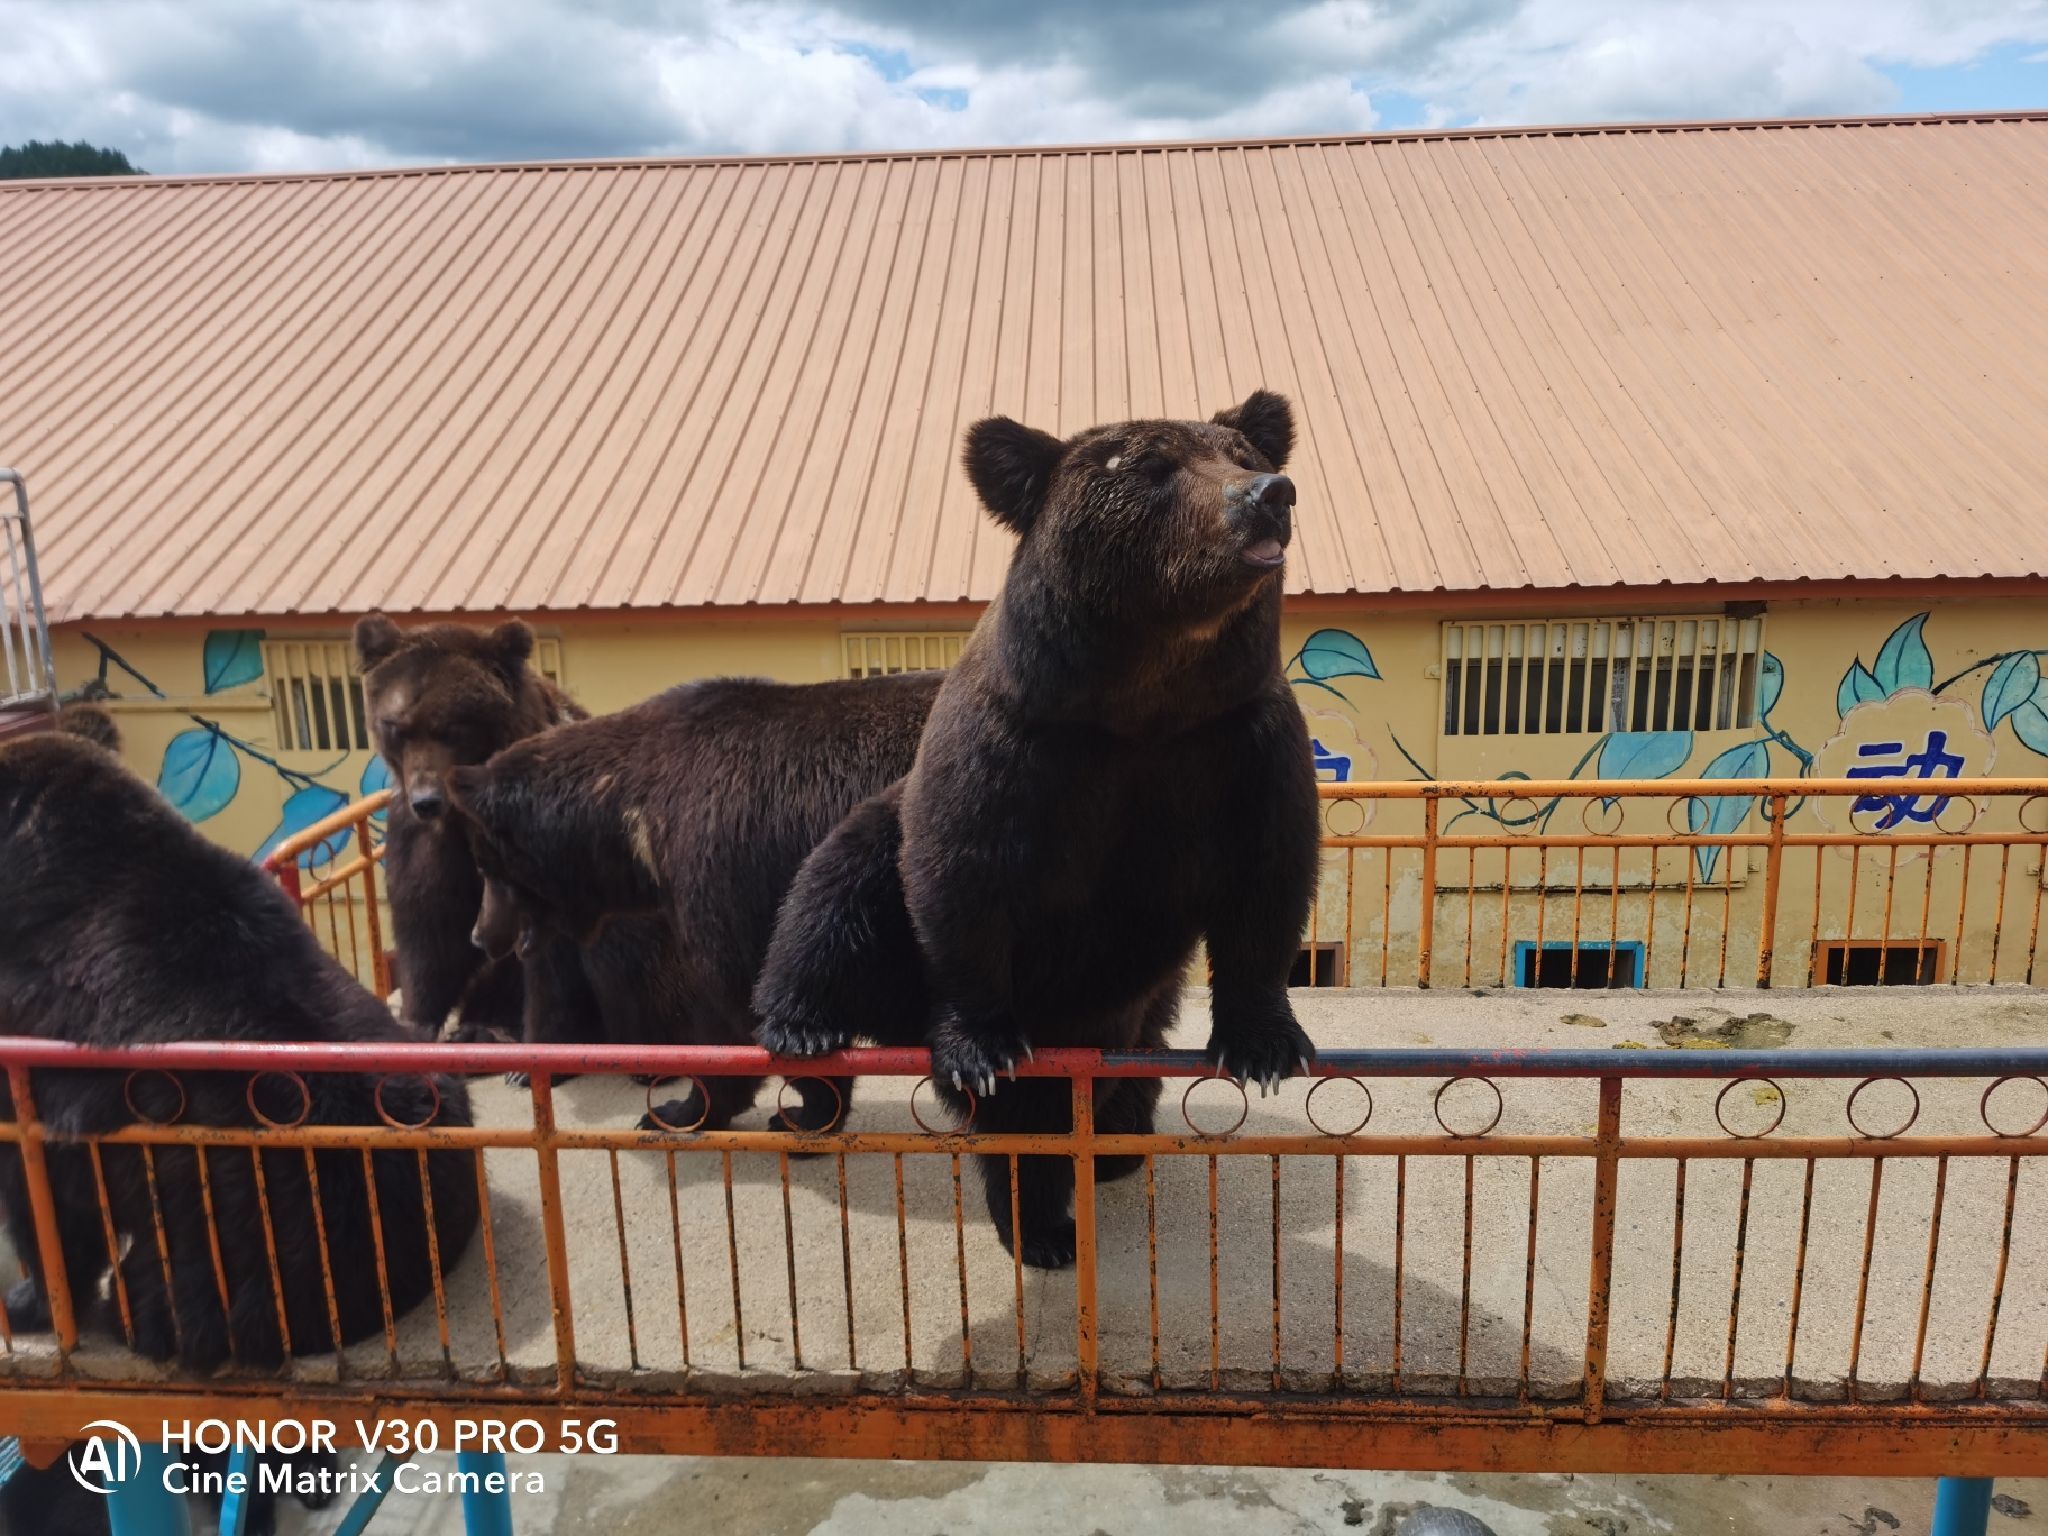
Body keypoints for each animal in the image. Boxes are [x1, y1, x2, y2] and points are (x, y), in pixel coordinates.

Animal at [354, 613, 585, 1037]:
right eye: (397, 726)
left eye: (452, 727)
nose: (427, 800)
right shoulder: (428, 840)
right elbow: (430, 926)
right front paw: (418, 1019)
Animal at [443, 671, 943, 1132]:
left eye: (485, 867)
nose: (479, 935)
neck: (632, 822)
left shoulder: (724, 868)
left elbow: (738, 1003)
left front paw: (779, 1108)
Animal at [755, 392, 1321, 1268]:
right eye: (1153, 468)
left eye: (1239, 451)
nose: (1267, 493)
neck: (1144, 698)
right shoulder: (1013, 747)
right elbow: (961, 881)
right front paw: (983, 1048)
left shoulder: (1240, 743)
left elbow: (1268, 877)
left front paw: (1263, 1044)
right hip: (878, 886)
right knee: (834, 895)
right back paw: (807, 1027)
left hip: (1131, 1007)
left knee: (1106, 1080)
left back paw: (1095, 1173)